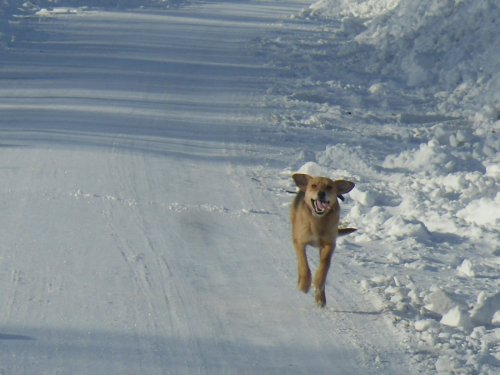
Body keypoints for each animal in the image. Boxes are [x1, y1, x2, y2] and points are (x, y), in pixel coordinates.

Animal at [290, 175, 356, 306]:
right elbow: (304, 263)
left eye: (329, 187)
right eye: (314, 185)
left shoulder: (329, 245)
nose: (321, 193)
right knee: (300, 262)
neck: (317, 221)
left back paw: (320, 297)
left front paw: (318, 282)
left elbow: (324, 265)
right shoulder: (299, 242)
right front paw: (304, 283)